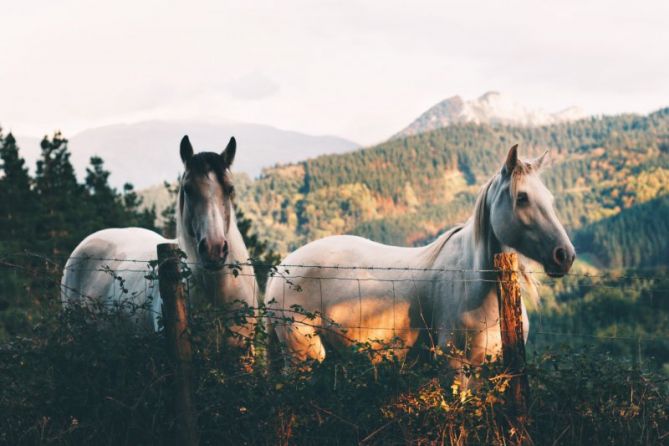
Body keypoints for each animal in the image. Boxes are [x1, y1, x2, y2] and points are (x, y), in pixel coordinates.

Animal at [266, 145, 576, 372]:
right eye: (522, 197)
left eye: (550, 198)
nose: (565, 255)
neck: (479, 285)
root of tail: (281, 269)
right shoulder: (456, 367)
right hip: (304, 358)